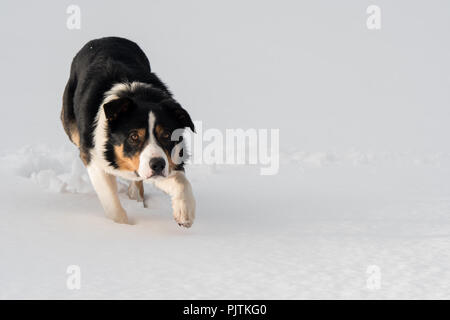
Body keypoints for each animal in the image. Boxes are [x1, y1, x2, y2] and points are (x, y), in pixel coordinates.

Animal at [62, 37, 197, 228]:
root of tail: (105, 38)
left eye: (166, 135)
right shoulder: (93, 157)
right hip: (70, 124)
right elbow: (111, 202)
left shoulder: (167, 160)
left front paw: (184, 213)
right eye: (134, 136)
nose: (157, 165)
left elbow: (181, 182)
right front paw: (124, 228)